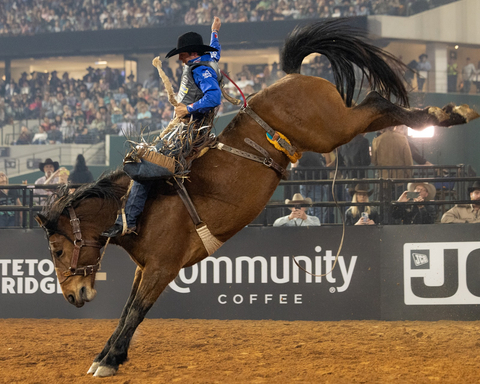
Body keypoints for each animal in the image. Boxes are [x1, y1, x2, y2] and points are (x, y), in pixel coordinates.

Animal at [36, 19, 476, 376]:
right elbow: (128, 309)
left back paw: (449, 114)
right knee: (378, 108)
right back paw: (446, 113)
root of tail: (293, 76)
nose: (73, 296)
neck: (137, 207)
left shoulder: (162, 267)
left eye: (56, 250)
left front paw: (109, 360)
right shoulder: (145, 269)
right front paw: (108, 354)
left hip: (333, 130)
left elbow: (136, 311)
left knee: (375, 102)